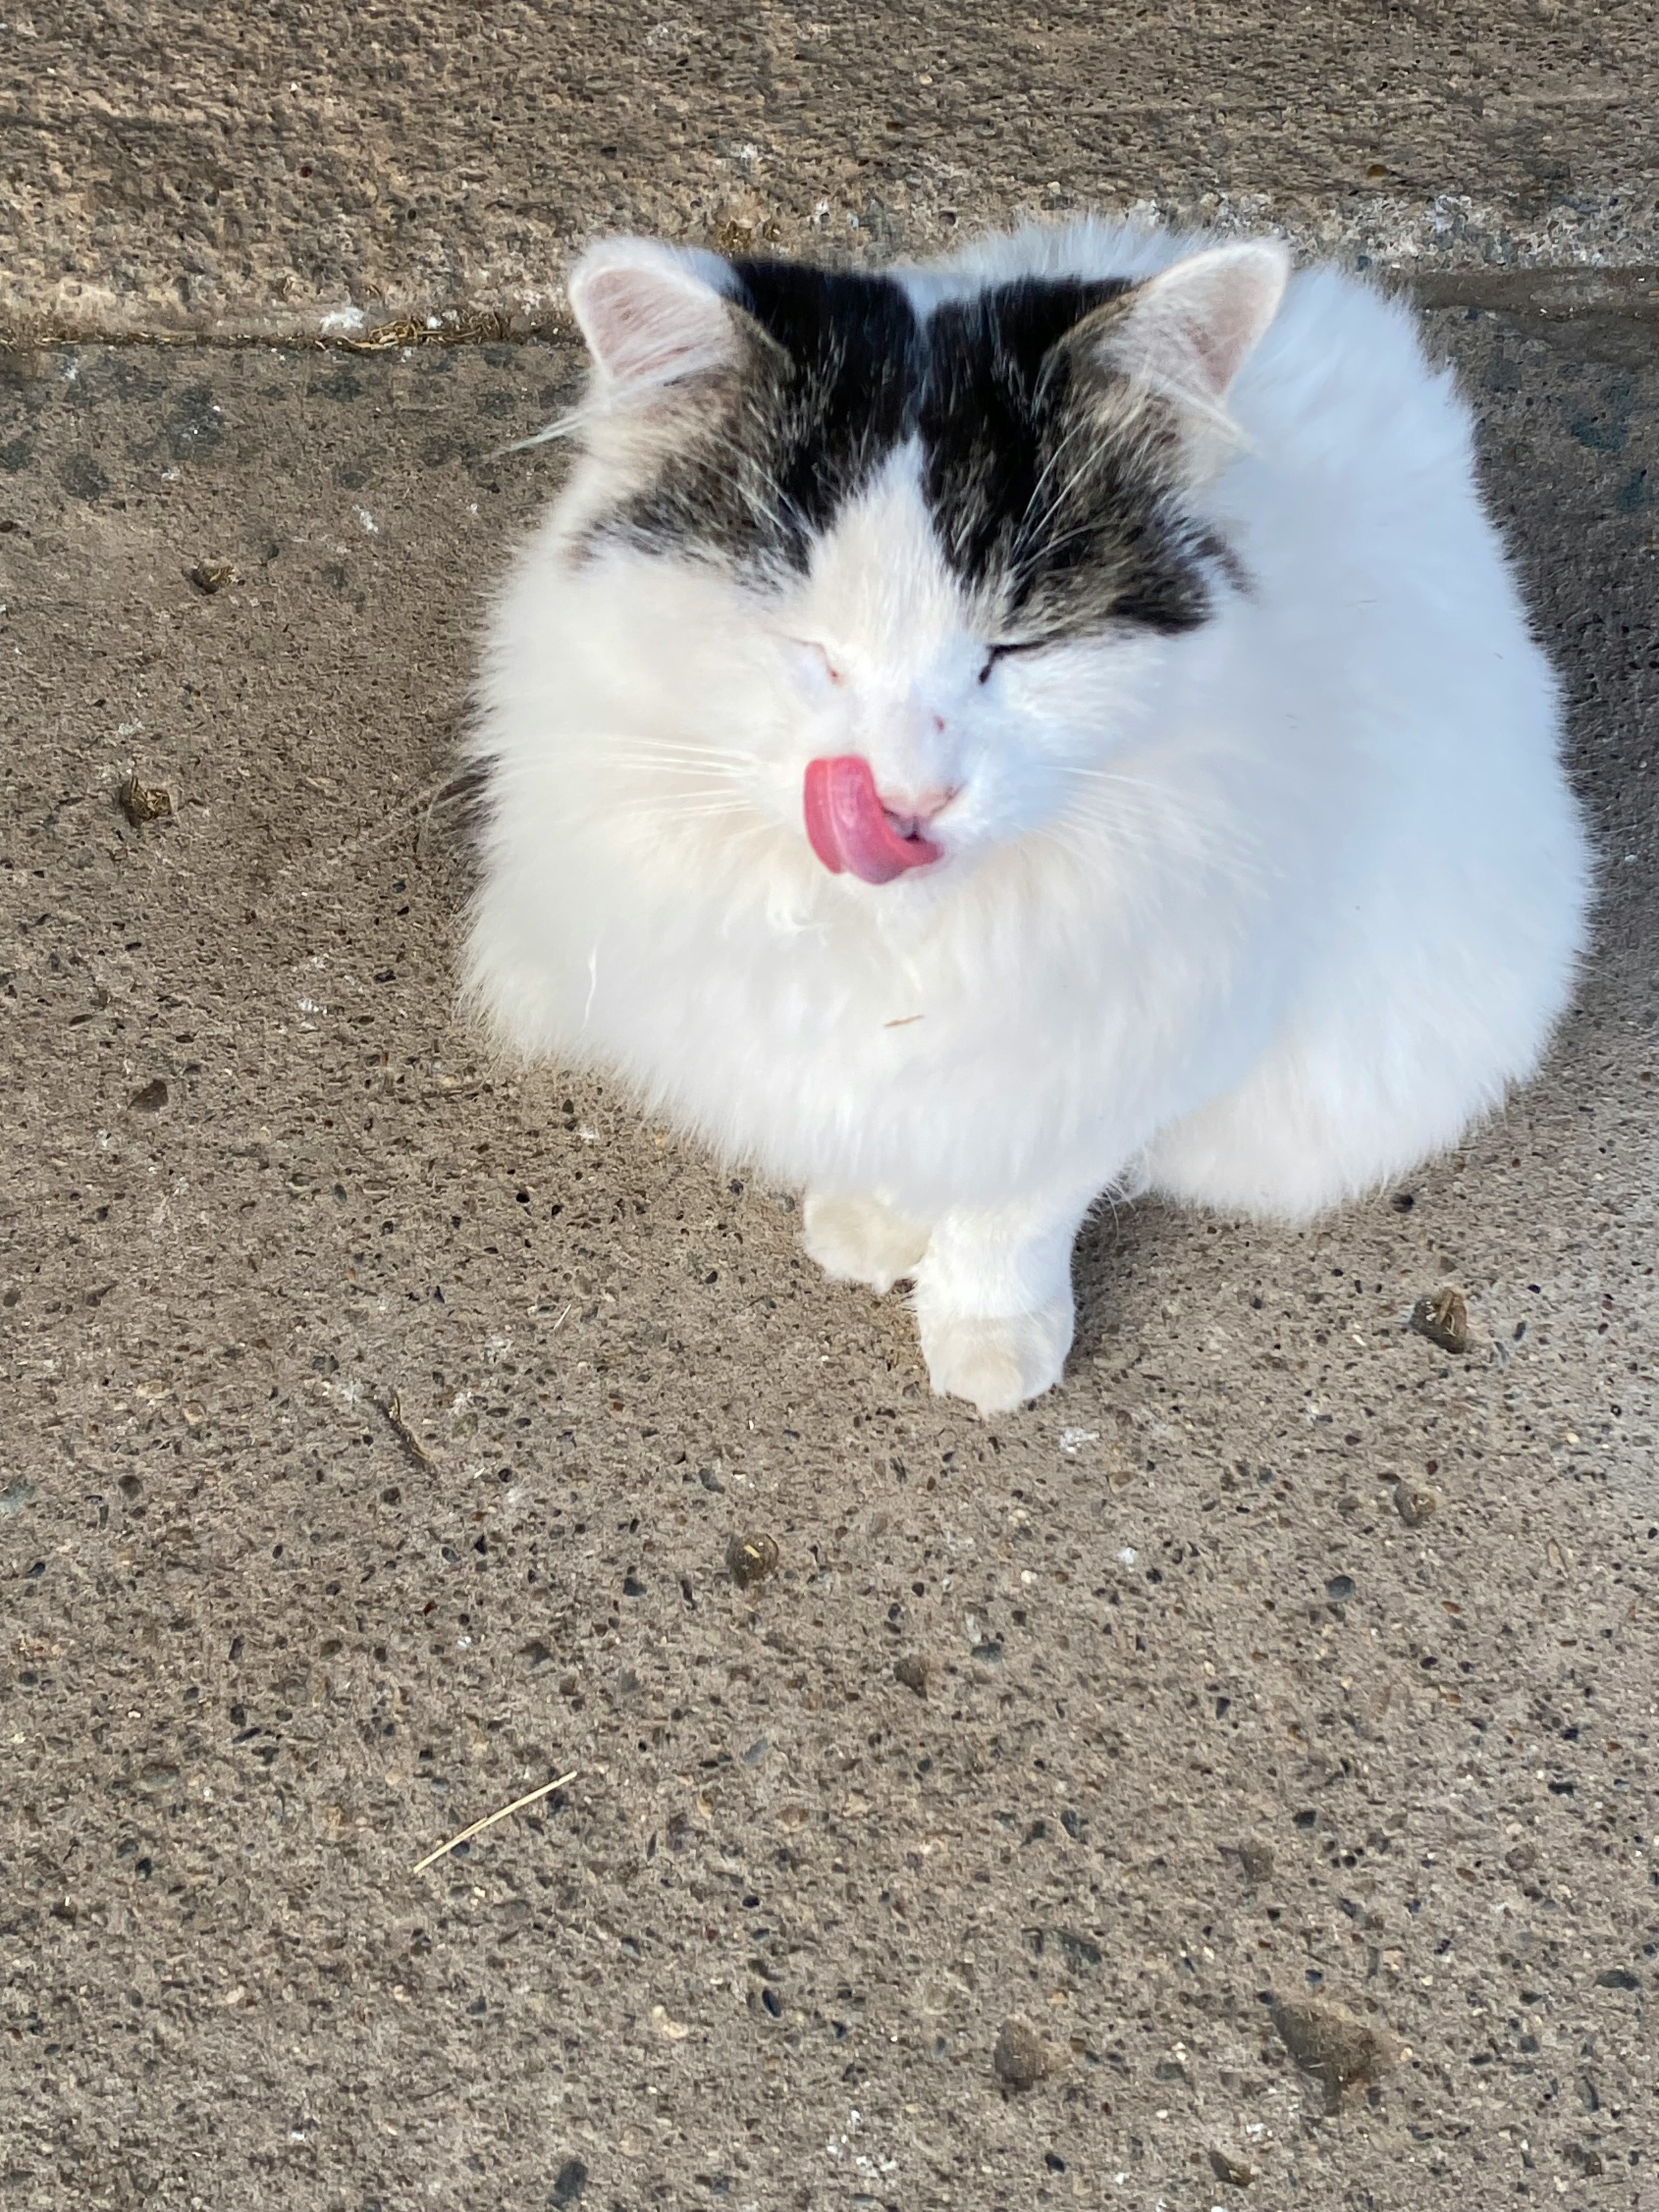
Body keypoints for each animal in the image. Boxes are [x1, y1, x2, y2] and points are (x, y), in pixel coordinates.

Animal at [458, 220, 1601, 1415]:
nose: (906, 797)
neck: (898, 946)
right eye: (810, 647)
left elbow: (1018, 1202)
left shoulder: (1129, 1040)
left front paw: (984, 1326)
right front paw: (877, 1217)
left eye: (1016, 648)